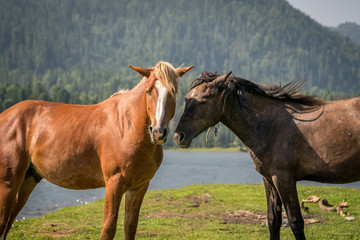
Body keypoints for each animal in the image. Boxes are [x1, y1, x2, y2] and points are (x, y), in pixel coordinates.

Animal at [0, 61, 194, 239]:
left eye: (173, 92)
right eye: (148, 91)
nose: (158, 131)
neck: (127, 127)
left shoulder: (138, 187)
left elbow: (130, 227)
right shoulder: (114, 184)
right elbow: (108, 228)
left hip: (28, 180)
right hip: (9, 183)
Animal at [174, 71, 360, 240]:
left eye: (204, 100)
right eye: (186, 98)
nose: (178, 136)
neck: (270, 126)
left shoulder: (284, 179)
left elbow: (296, 222)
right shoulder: (269, 179)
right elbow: (273, 221)